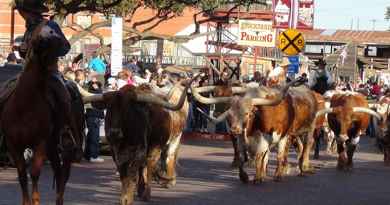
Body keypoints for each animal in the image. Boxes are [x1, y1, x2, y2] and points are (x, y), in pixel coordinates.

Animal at [0, 19, 76, 205]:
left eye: (58, 30)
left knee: (63, 174)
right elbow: (22, 175)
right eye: (38, 30)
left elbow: (34, 173)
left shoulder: (40, 144)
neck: (25, 105)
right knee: (58, 171)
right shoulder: (14, 145)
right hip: (52, 146)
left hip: (61, 146)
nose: (65, 45)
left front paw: (35, 200)